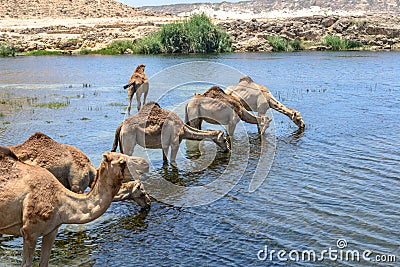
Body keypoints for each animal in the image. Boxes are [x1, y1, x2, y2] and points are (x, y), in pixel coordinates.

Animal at [0, 151, 148, 267]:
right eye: (122, 161)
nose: (145, 164)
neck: (60, 200)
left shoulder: (52, 230)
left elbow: (44, 263)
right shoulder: (29, 232)